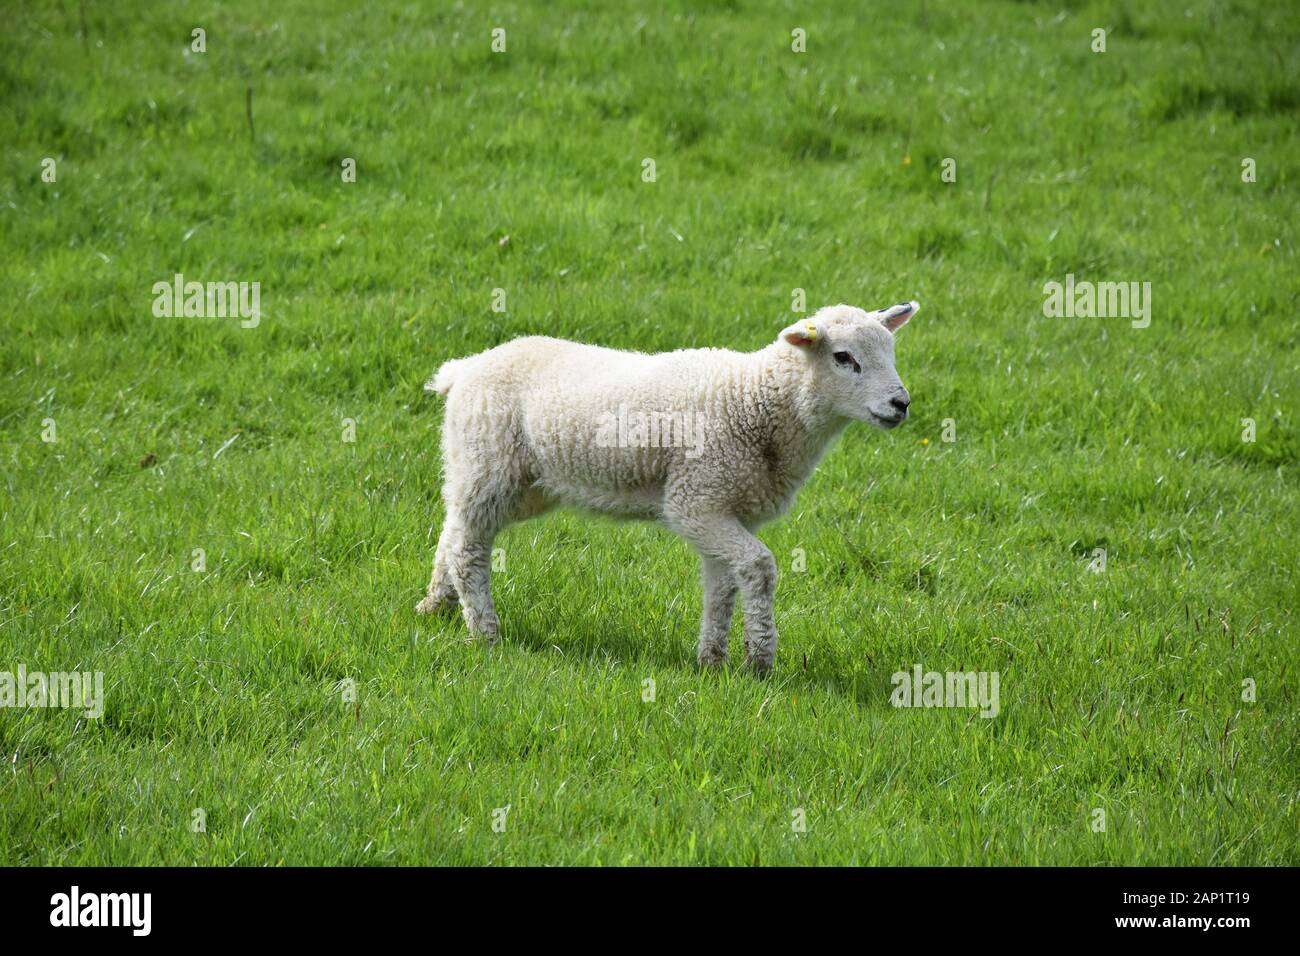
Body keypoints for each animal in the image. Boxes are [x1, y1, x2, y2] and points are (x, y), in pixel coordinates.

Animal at [417, 300, 918, 676]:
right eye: (843, 358)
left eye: (891, 352)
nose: (901, 404)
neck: (758, 400)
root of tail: (464, 369)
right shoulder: (695, 501)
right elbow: (760, 567)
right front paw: (760, 661)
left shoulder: (726, 508)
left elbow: (723, 587)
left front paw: (712, 663)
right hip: (490, 462)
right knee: (468, 546)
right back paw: (485, 632)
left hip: (510, 478)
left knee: (455, 526)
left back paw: (436, 604)